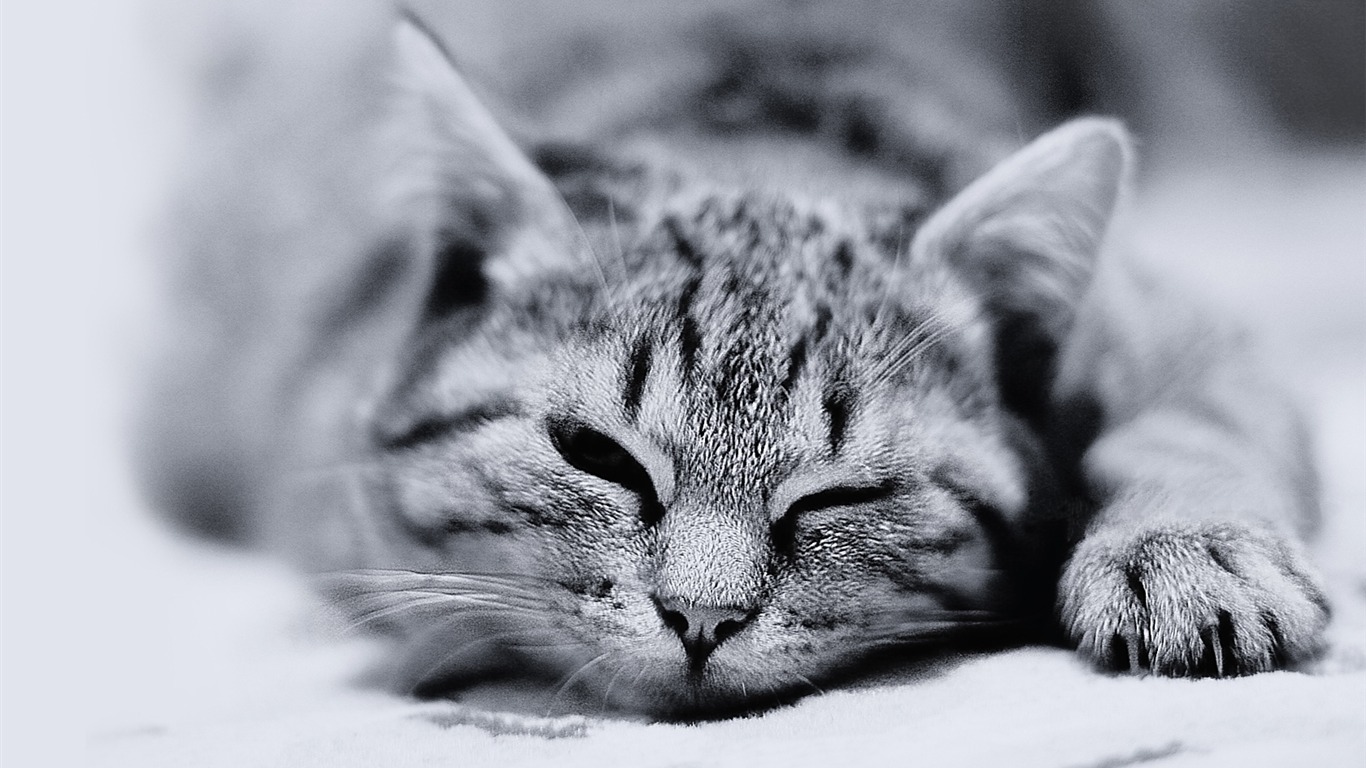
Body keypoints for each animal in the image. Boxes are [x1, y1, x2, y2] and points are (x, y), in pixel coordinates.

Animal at [144, 8, 1327, 716]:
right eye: (595, 455)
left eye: (841, 496)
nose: (700, 621)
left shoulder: (1174, 333)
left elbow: (1188, 424)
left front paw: (1185, 548)